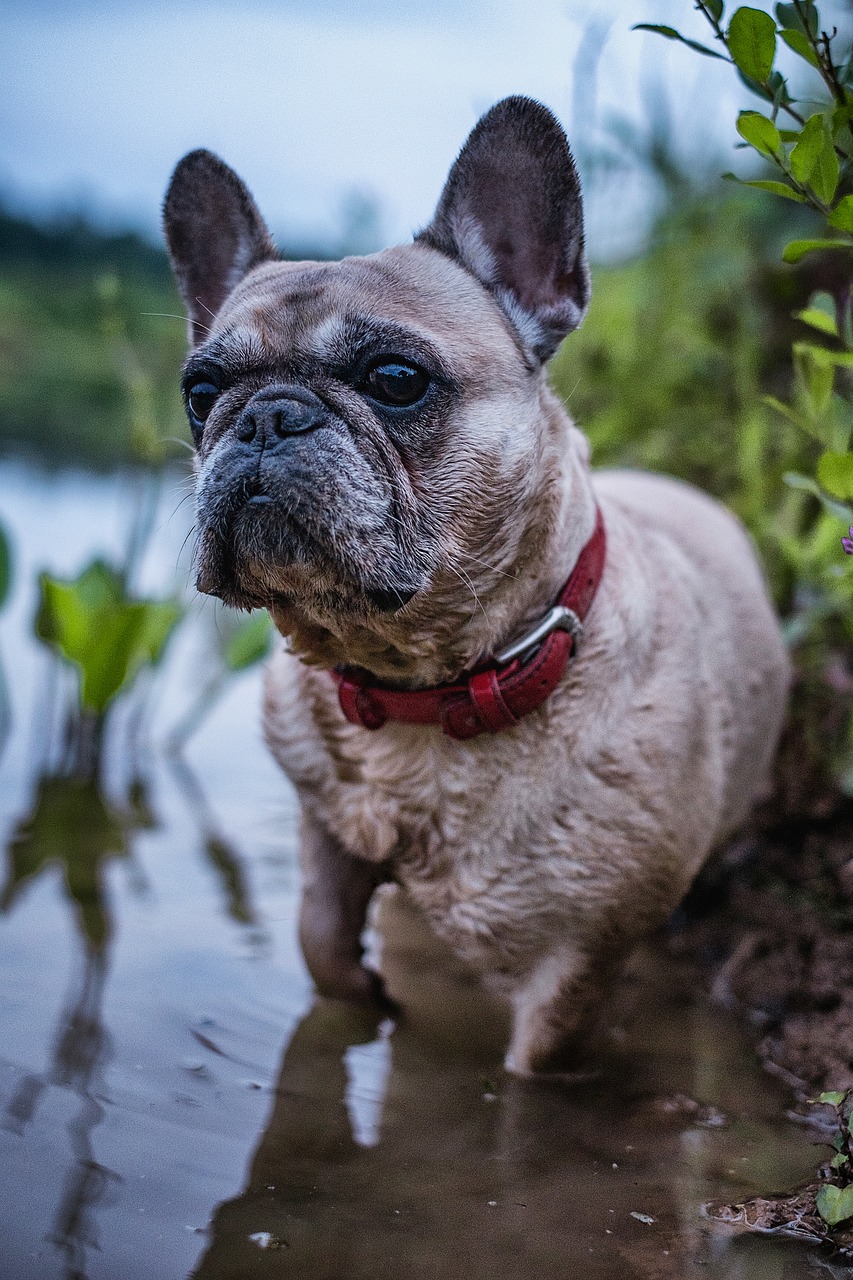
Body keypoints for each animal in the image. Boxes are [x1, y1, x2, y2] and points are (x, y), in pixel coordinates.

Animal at [162, 99, 788, 1075]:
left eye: (395, 380)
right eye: (200, 393)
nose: (266, 415)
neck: (422, 688)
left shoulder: (575, 967)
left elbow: (535, 1071)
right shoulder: (327, 836)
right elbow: (319, 943)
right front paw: (367, 1000)